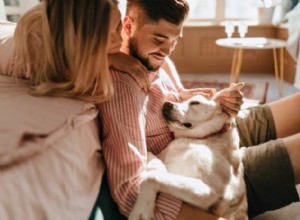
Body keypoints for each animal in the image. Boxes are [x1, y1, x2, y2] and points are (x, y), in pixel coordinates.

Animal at [129, 83, 248, 220]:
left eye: (195, 102)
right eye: (182, 100)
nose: (166, 104)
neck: (200, 139)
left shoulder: (210, 193)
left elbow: (152, 177)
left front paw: (140, 210)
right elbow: (156, 166)